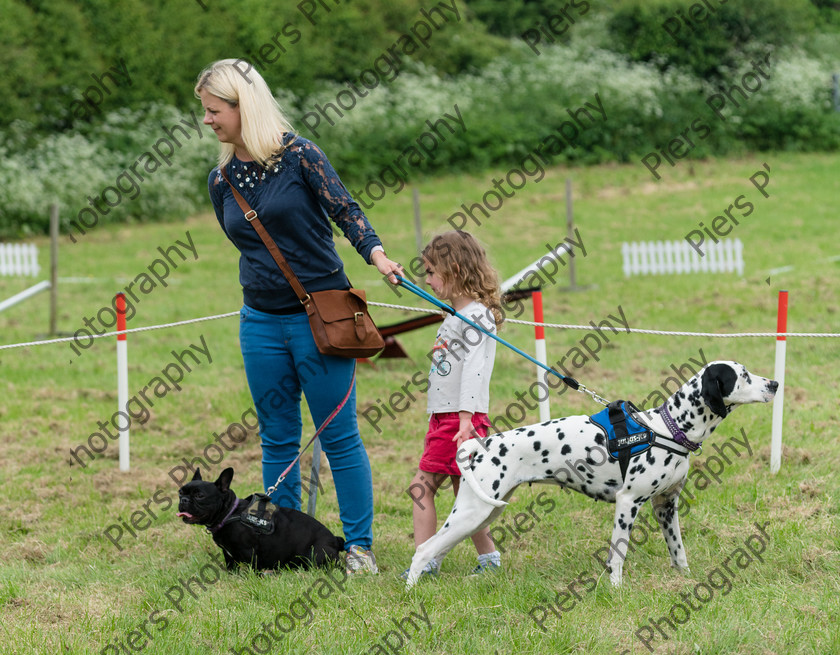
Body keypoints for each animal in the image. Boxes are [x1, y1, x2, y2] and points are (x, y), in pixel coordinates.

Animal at [404, 362, 776, 592]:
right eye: (743, 375)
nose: (774, 383)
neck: (667, 428)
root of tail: (481, 445)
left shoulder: (666, 507)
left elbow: (678, 552)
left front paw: (685, 579)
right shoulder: (628, 504)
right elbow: (618, 555)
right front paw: (616, 589)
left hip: (482, 514)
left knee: (437, 549)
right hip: (473, 513)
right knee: (424, 549)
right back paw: (411, 593)